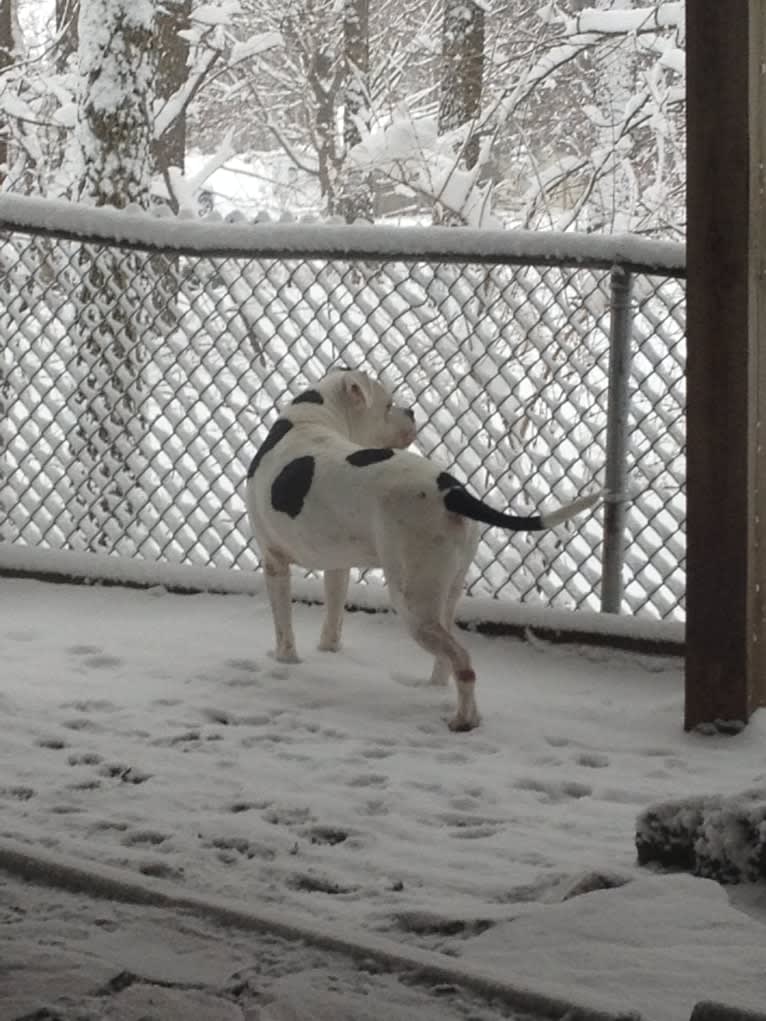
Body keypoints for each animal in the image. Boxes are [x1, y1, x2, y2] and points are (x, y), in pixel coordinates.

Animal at [246, 365, 600, 726]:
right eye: (389, 405)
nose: (412, 411)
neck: (310, 420)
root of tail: (451, 490)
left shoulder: (274, 563)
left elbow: (283, 627)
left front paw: (286, 662)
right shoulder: (337, 567)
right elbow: (333, 619)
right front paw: (327, 653)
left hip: (412, 602)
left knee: (462, 660)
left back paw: (463, 721)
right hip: (444, 592)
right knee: (447, 657)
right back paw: (434, 691)